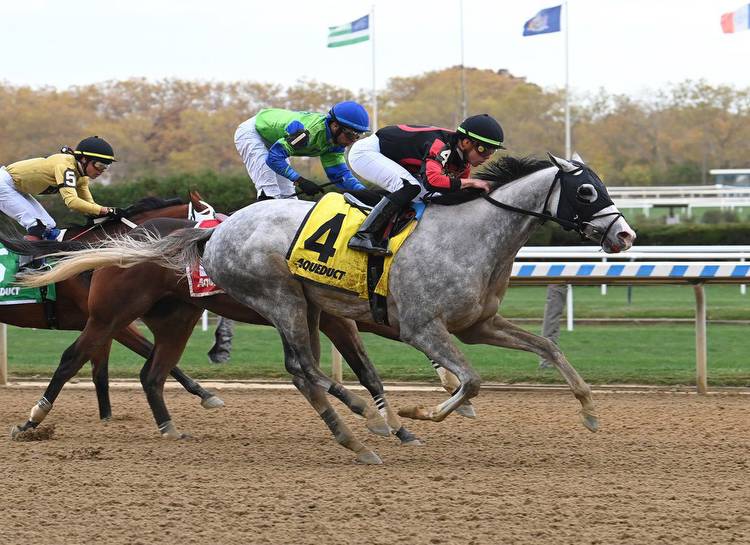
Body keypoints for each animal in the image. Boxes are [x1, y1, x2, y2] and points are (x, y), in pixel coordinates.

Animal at [3, 193, 223, 428]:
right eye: (212, 222)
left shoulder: (102, 323)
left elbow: (101, 374)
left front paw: (107, 419)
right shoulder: (111, 321)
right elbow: (149, 350)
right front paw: (205, 394)